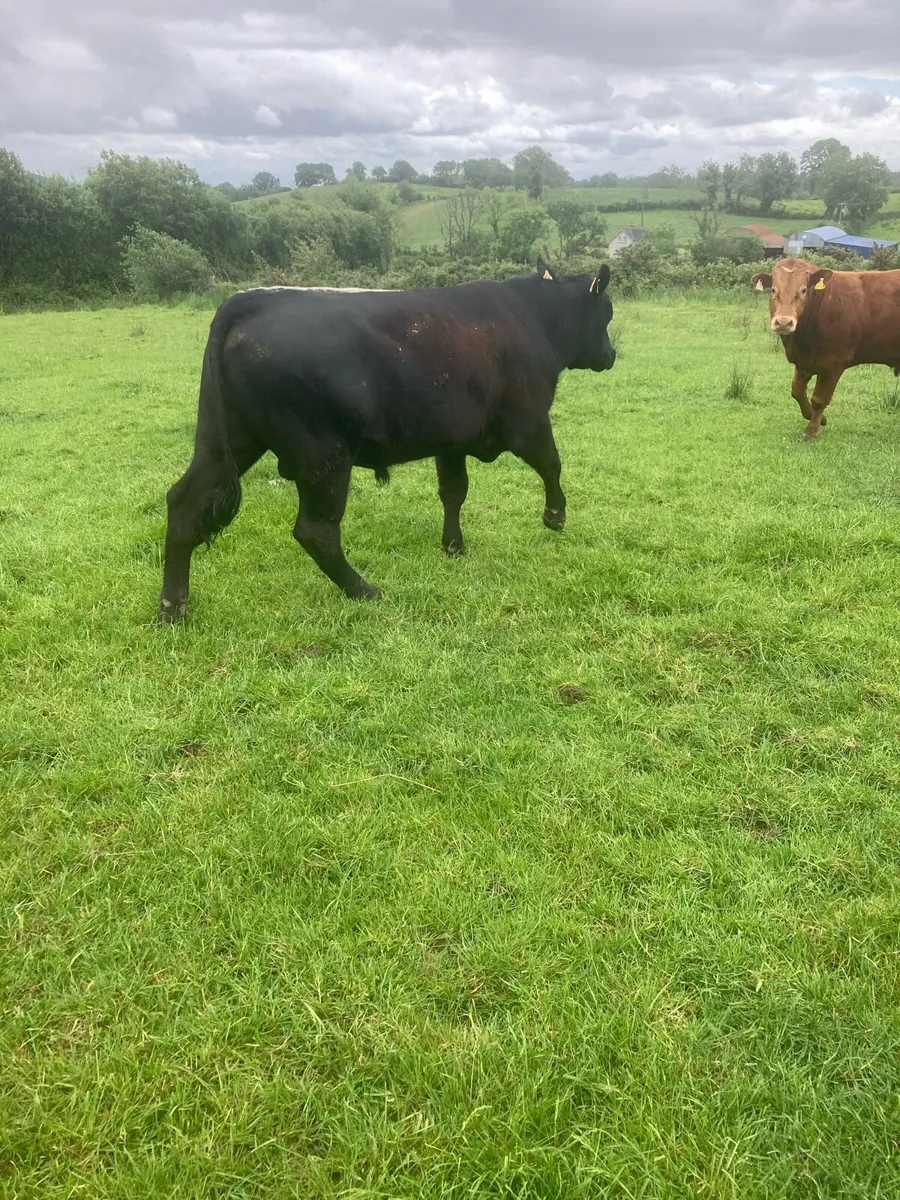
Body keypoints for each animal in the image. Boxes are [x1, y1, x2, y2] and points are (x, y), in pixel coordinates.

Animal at [157, 260, 616, 622]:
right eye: (608, 313)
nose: (611, 355)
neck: (533, 317)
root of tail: (254, 300)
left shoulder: (451, 440)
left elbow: (454, 492)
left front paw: (453, 546)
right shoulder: (528, 421)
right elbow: (552, 464)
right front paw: (555, 516)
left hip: (225, 442)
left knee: (183, 502)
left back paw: (172, 605)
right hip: (322, 455)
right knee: (316, 530)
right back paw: (364, 590)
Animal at [752, 257, 900, 440]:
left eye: (803, 290)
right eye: (773, 290)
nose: (784, 322)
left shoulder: (833, 363)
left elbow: (819, 399)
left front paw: (811, 430)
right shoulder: (804, 362)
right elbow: (797, 391)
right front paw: (820, 419)